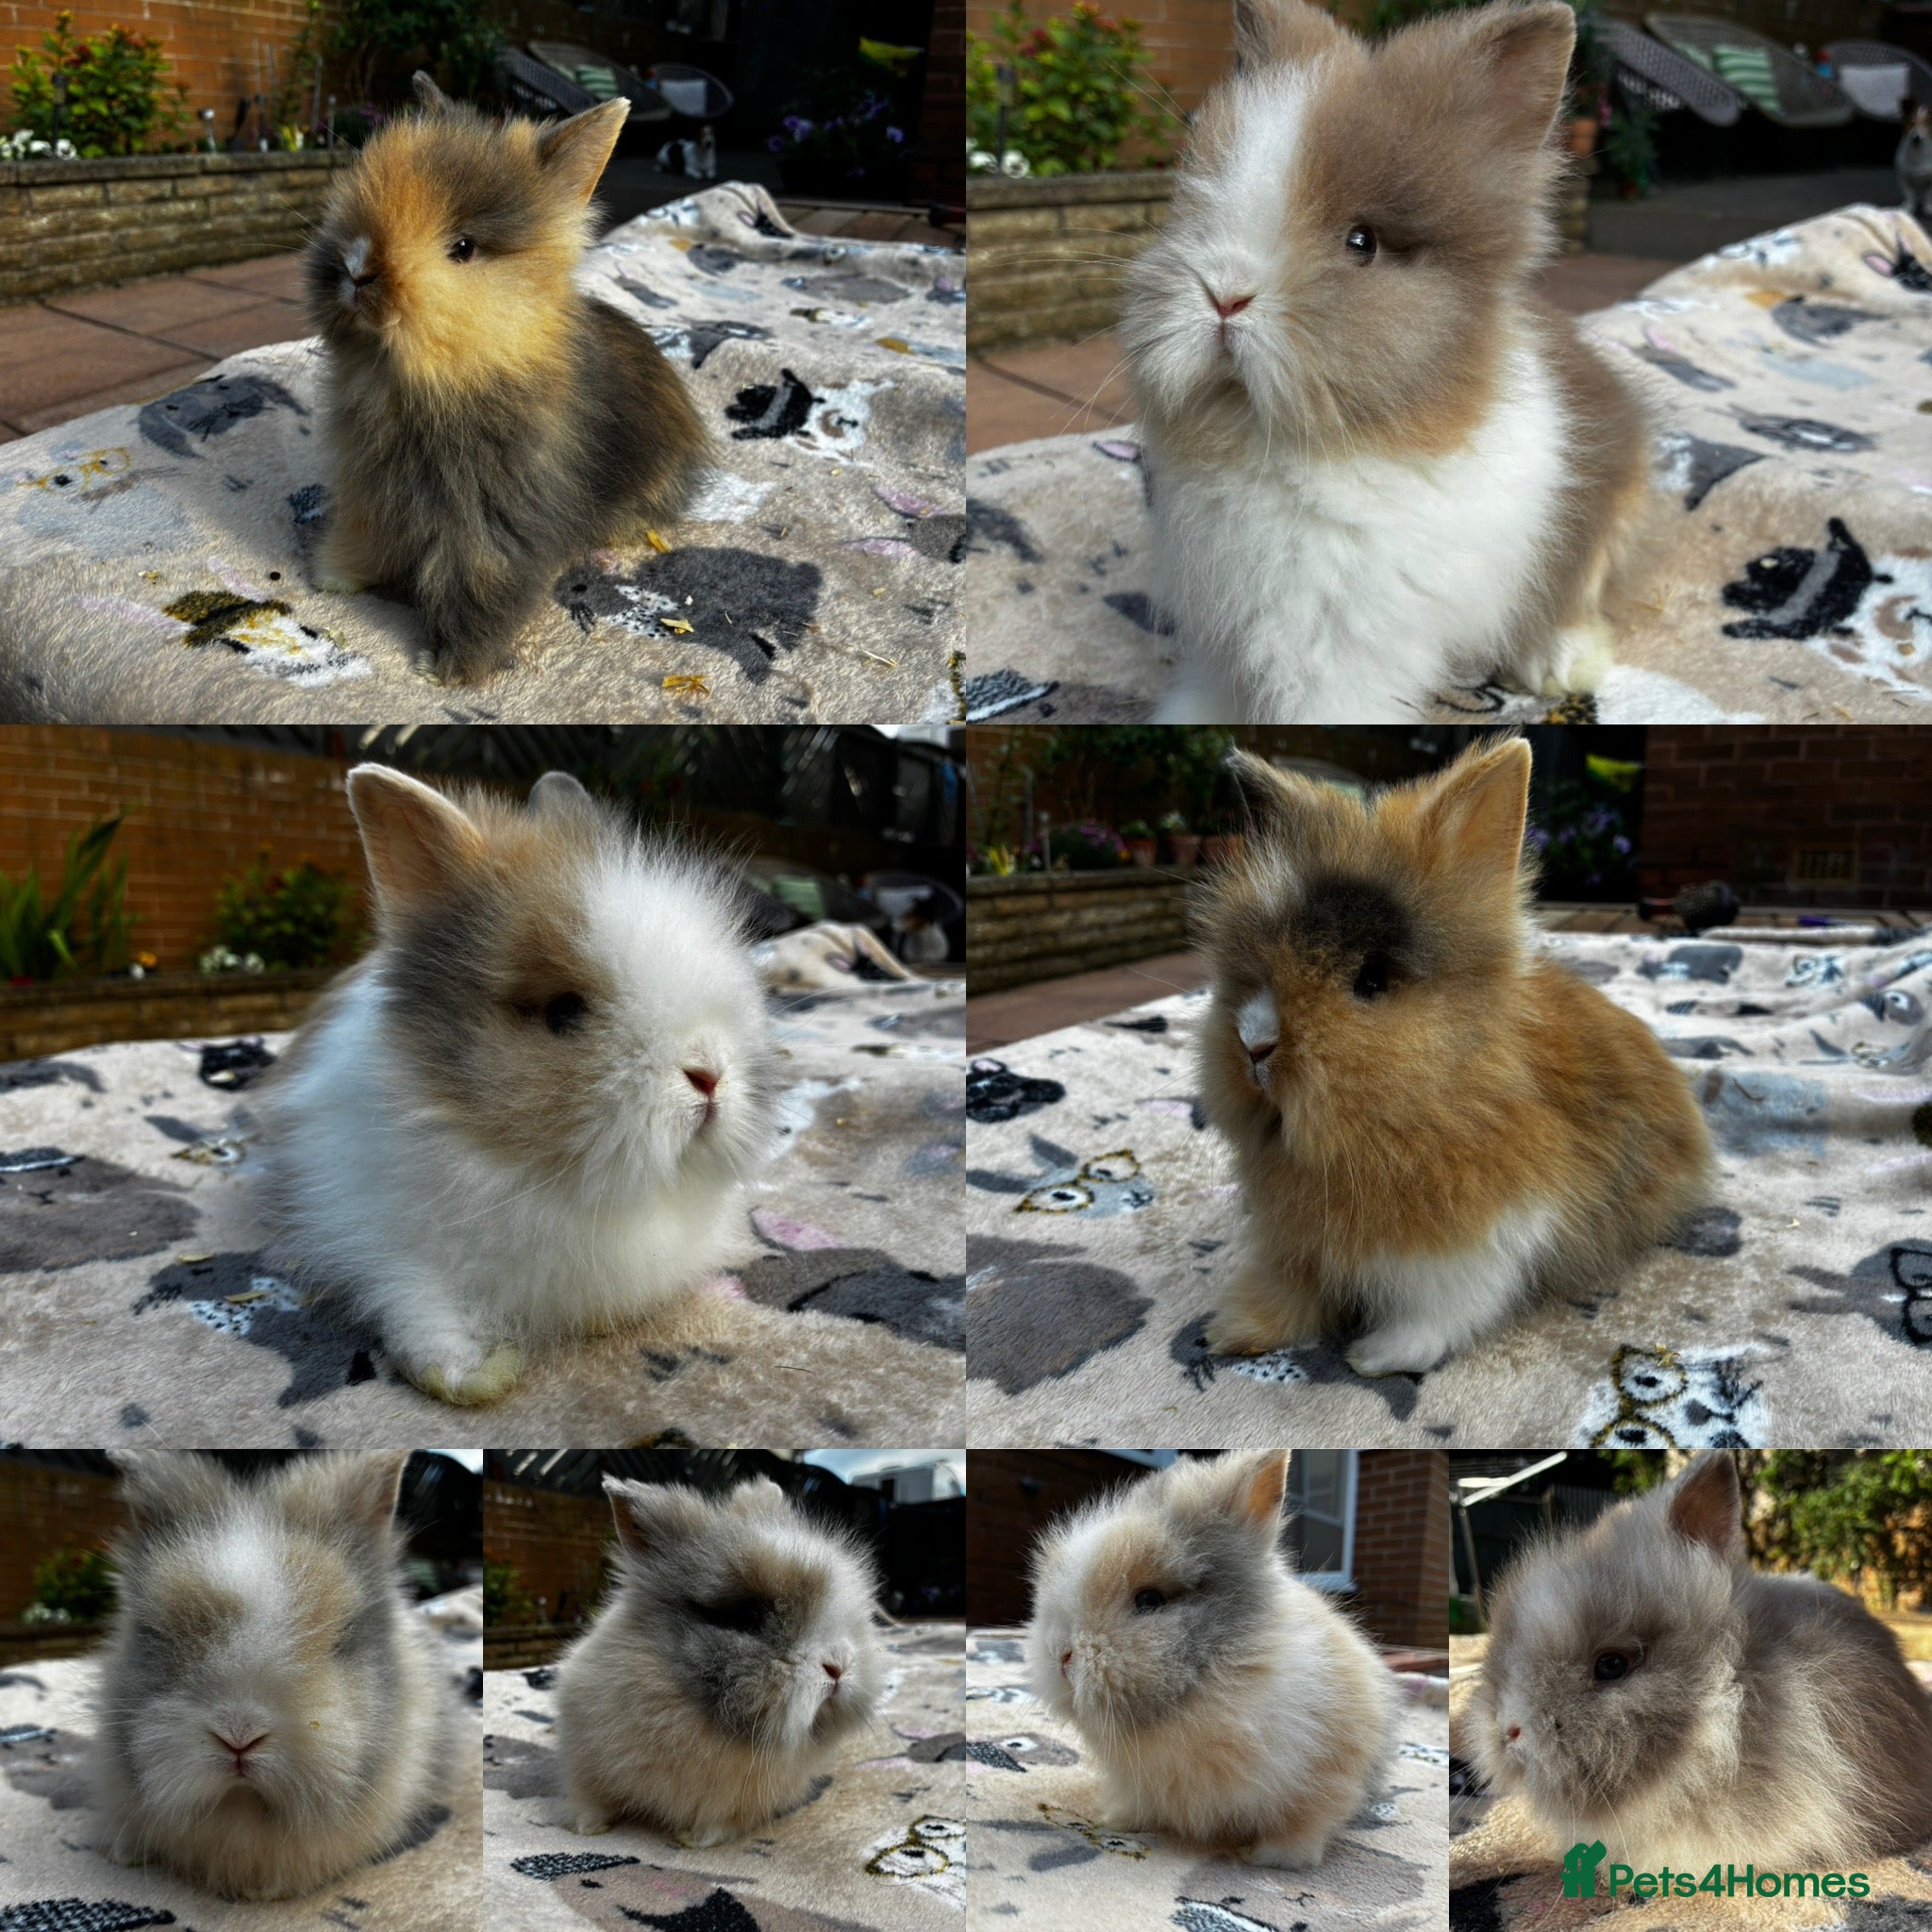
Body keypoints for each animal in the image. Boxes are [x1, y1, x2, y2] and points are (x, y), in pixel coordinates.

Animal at [304, 73, 712, 685]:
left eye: (463, 248)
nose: (356, 269)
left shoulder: (494, 519)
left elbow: (479, 582)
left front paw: (449, 668)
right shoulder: (372, 487)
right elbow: (366, 534)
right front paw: (334, 577)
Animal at [555, 1474, 886, 1843]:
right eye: (747, 1618)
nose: (838, 1666)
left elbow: (720, 1824)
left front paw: (695, 1840)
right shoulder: (584, 1757)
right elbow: (592, 1797)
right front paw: (586, 1827)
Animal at [1025, 1450, 1396, 1867]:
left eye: (1150, 1599)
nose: (1060, 1653)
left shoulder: (1329, 1772)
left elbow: (1302, 1824)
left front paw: (1268, 1858)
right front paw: (1115, 1822)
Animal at [1121, 0, 1655, 722]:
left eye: (1362, 243)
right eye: (1194, 203)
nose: (1224, 295)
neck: (1279, 444)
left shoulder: (1342, 645)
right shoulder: (1224, 628)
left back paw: (1557, 666)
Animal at [1195, 737, 1712, 1377]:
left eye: (1372, 981)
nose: (1254, 1044)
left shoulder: (1480, 1246)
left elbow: (1439, 1315)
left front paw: (1374, 1357)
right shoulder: (1296, 1245)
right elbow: (1289, 1289)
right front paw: (1233, 1331)